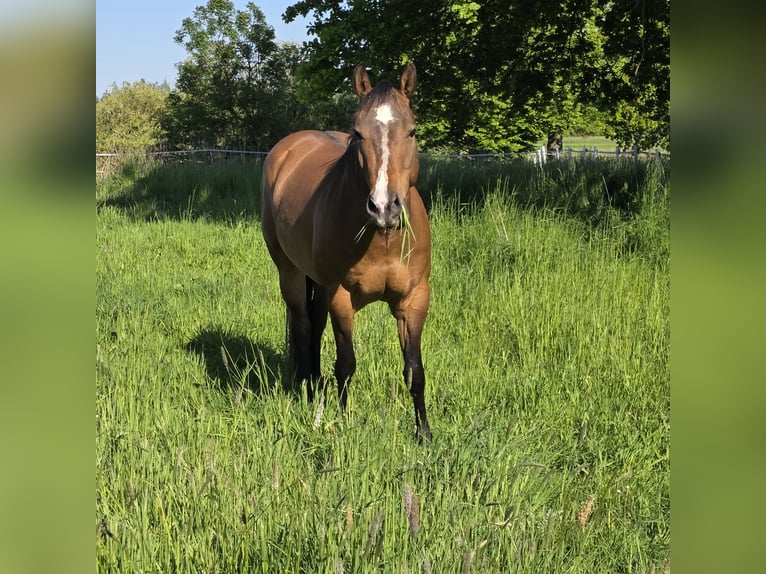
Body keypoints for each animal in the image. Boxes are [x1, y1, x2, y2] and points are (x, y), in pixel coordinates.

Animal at [260, 62, 432, 442]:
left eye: (412, 132)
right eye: (358, 133)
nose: (384, 207)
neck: (383, 240)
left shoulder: (414, 299)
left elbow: (414, 370)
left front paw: (425, 434)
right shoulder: (341, 296)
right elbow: (346, 364)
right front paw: (342, 422)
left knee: (315, 324)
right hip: (290, 272)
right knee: (304, 325)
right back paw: (309, 389)